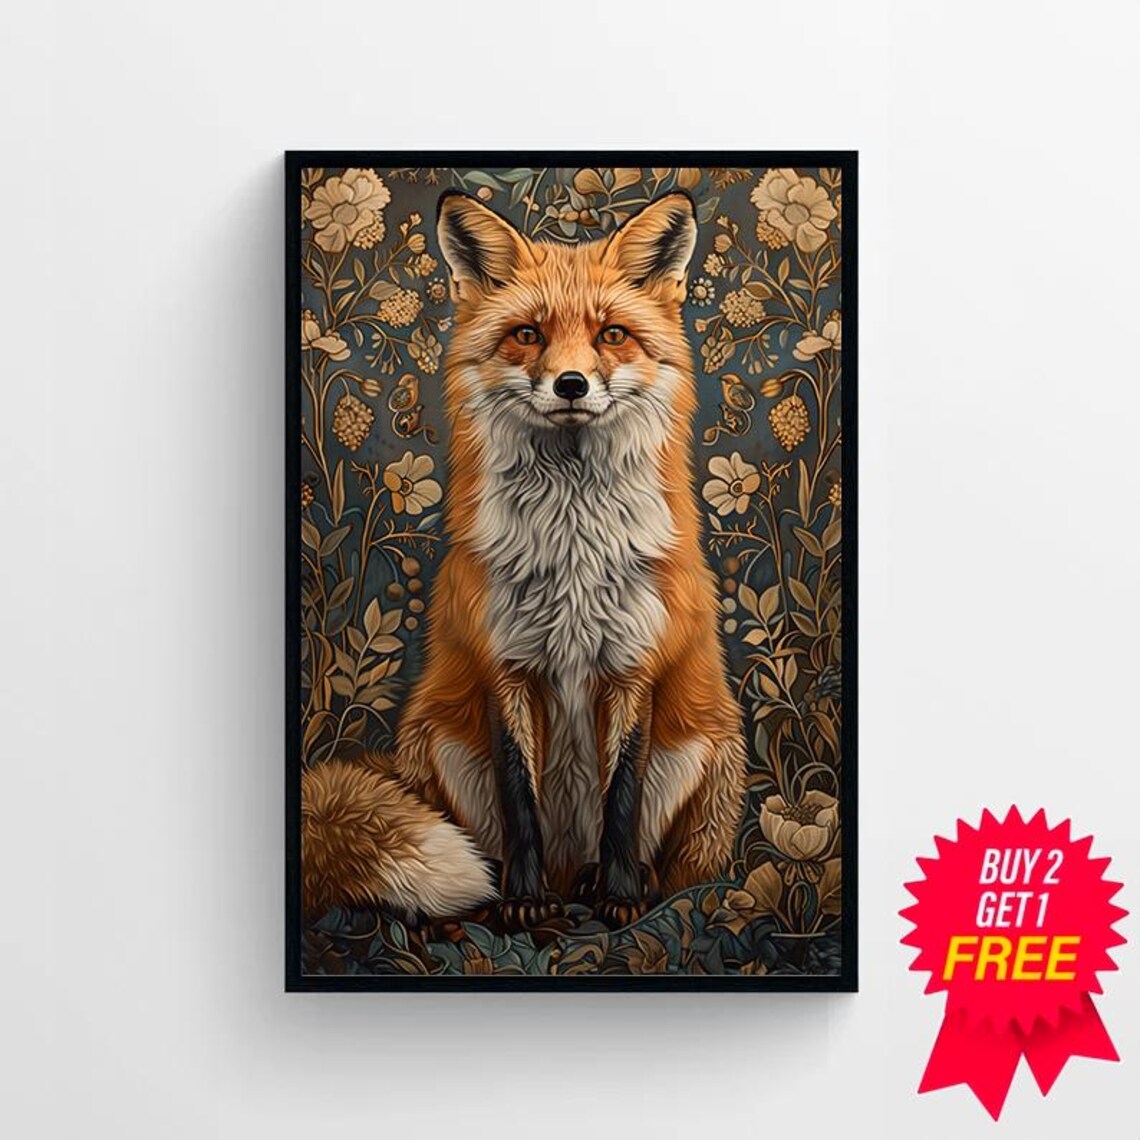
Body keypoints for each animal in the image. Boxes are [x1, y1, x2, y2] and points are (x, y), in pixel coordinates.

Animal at [302, 189, 747, 928]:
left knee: (669, 860)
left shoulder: (634, 667)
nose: (570, 384)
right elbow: (520, 800)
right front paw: (521, 900)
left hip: (698, 747)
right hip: (443, 742)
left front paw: (622, 896)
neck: (572, 545)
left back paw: (618, 881)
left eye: (611, 335)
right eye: (528, 334)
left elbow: (621, 798)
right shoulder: (503, 666)